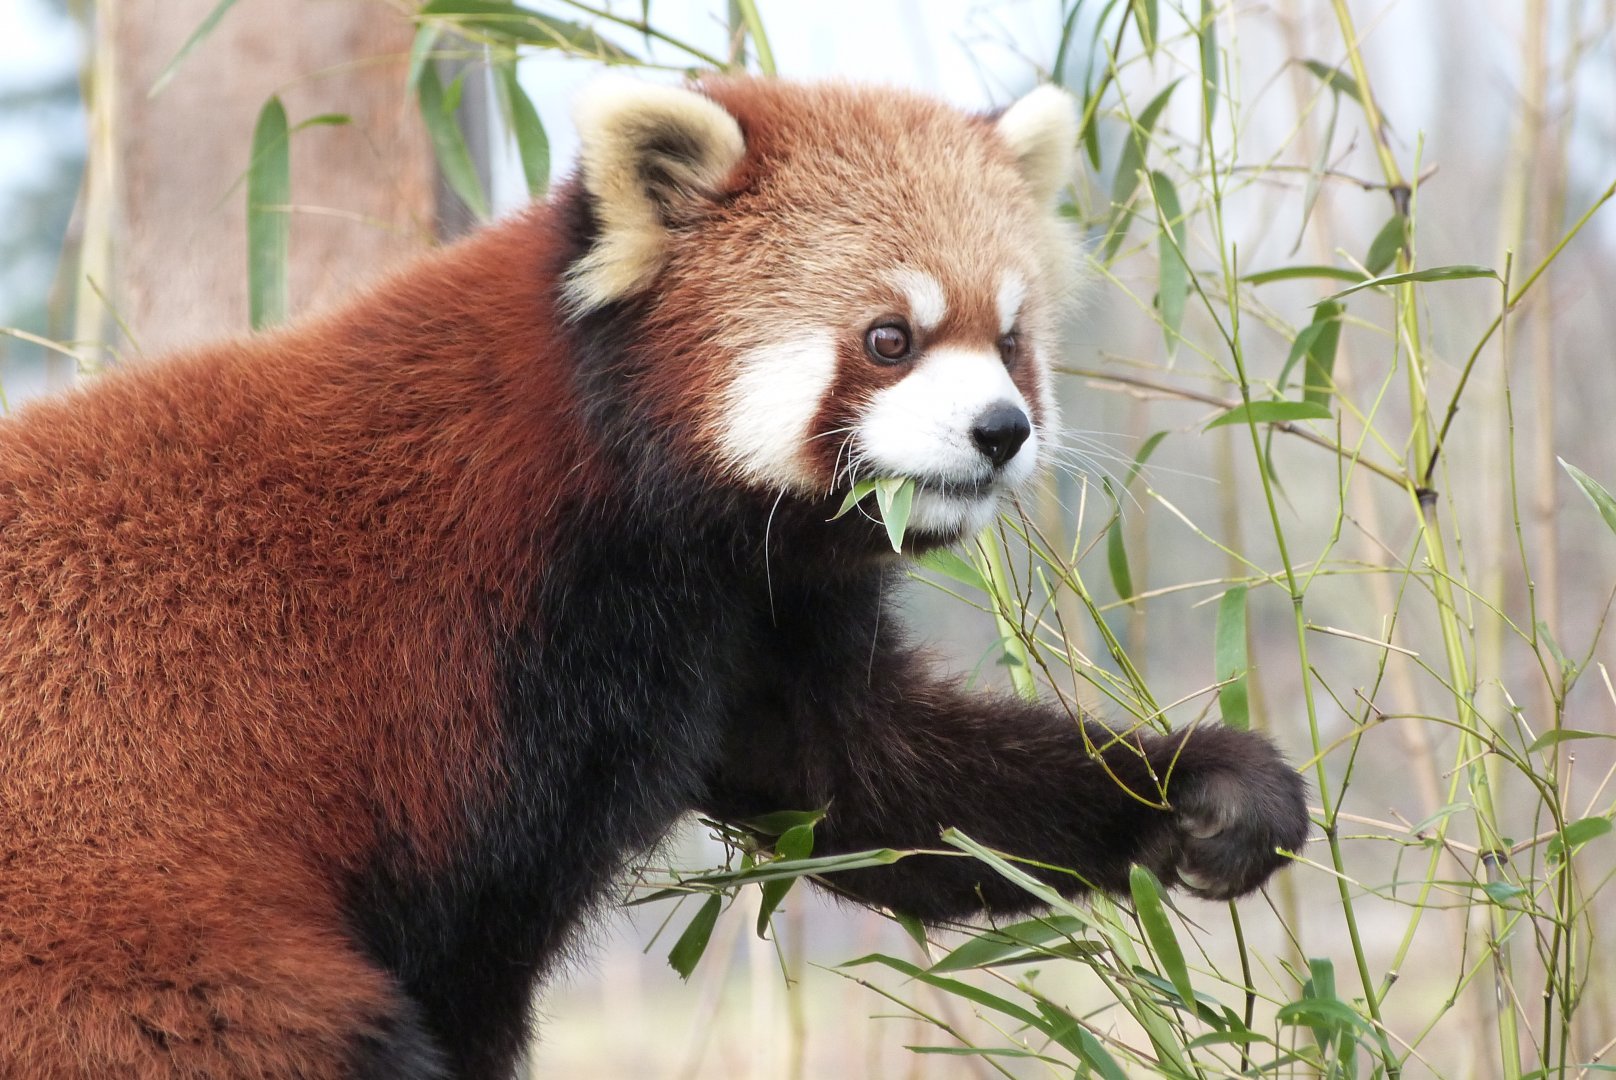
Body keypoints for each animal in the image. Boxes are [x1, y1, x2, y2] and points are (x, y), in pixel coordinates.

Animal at [0, 77, 1308, 1078]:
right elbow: (468, 945)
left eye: (1009, 339)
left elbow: (882, 784)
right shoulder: (474, 670)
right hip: (118, 937)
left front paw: (1207, 789)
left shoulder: (750, 624)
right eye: (888, 338)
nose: (1000, 431)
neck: (619, 485)